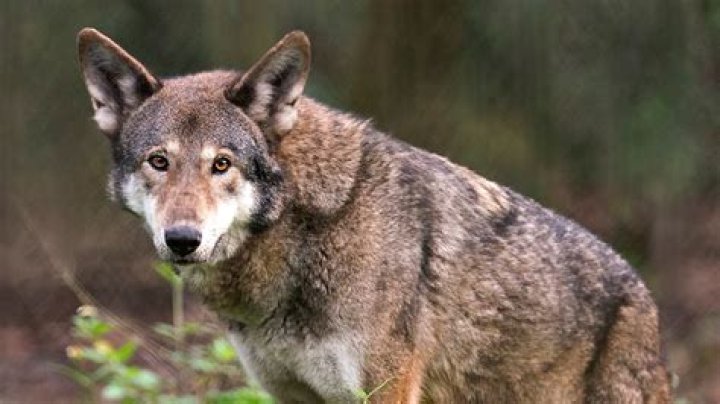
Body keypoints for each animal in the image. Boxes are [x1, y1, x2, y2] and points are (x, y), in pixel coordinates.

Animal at [77, 28, 670, 403]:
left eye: (221, 164)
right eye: (159, 161)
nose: (182, 238)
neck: (303, 233)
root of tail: (644, 294)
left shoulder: (387, 390)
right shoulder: (293, 395)